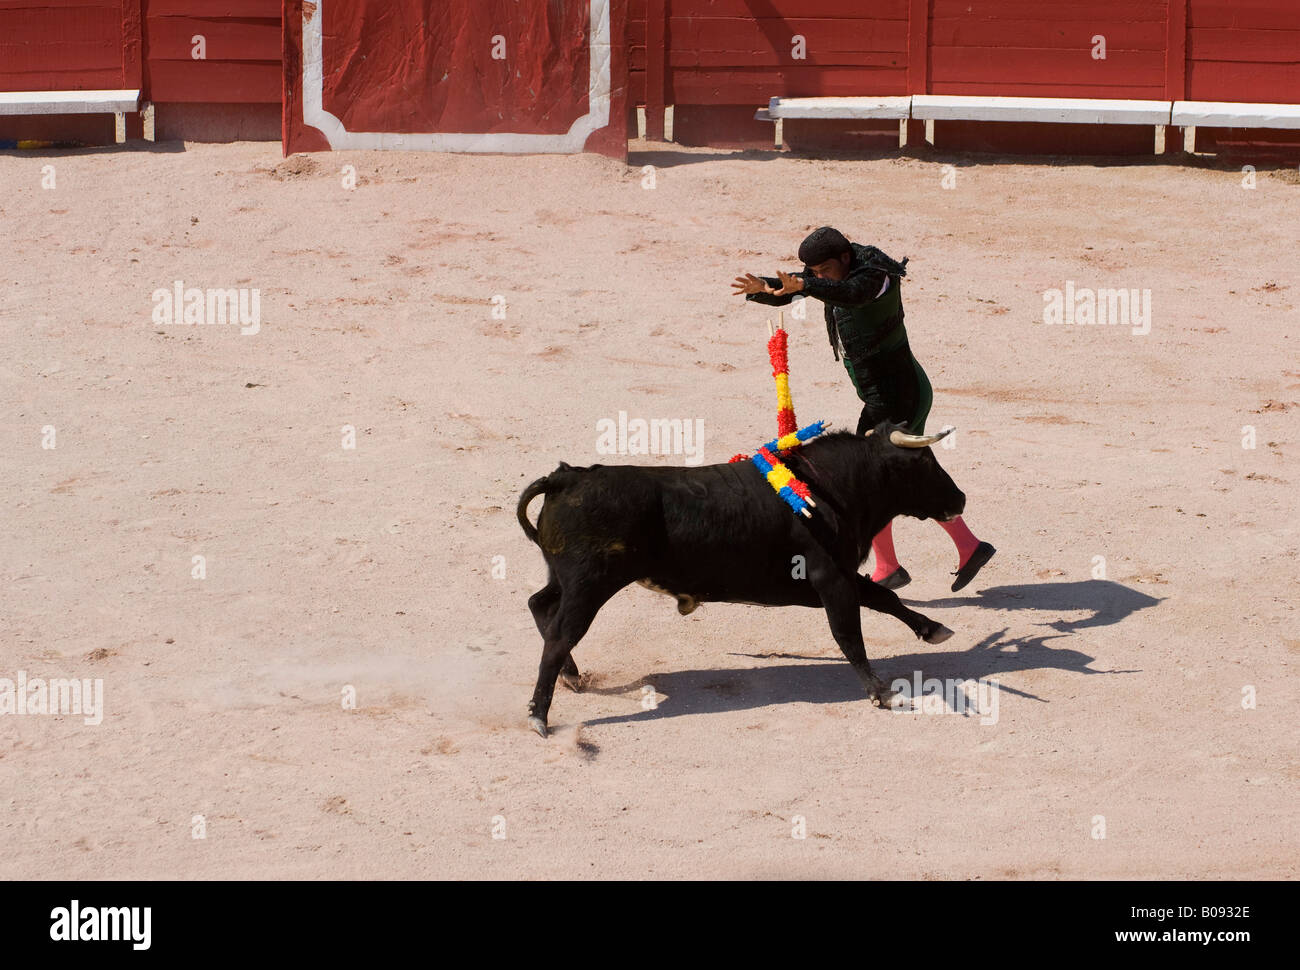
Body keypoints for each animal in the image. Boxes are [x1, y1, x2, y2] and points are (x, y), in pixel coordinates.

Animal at [514, 421, 967, 733]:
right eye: (924, 462)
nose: (960, 498)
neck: (832, 487)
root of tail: (567, 476)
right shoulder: (831, 579)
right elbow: (849, 633)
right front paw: (880, 692)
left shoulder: (835, 577)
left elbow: (883, 598)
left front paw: (933, 629)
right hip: (590, 585)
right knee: (559, 635)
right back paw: (539, 715)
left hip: (566, 579)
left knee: (540, 604)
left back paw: (572, 676)